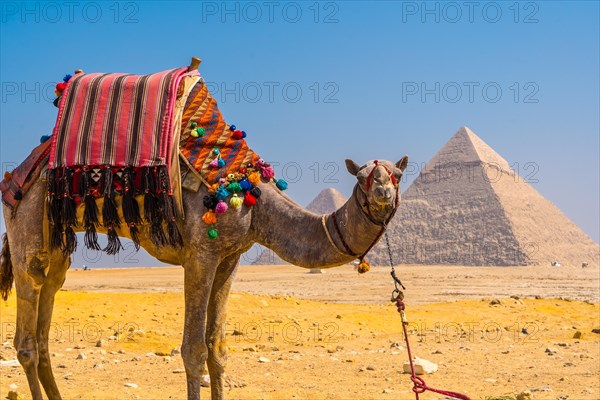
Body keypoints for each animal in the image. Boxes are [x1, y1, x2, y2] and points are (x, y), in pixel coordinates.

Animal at [0, 104, 408, 400]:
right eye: (363, 177)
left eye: (397, 175)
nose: (382, 193)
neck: (256, 205)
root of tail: (17, 173)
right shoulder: (200, 253)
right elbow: (193, 350)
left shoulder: (230, 258)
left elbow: (218, 348)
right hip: (26, 220)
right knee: (26, 330)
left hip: (57, 244)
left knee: (48, 305)